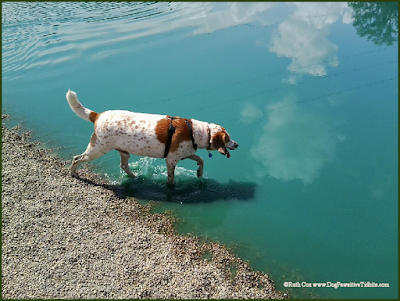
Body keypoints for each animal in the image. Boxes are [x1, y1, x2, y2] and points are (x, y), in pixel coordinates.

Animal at [67, 89, 239, 184]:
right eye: (228, 139)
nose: (237, 144)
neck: (195, 131)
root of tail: (97, 115)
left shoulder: (185, 154)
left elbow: (201, 160)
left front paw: (199, 173)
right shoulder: (171, 160)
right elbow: (171, 179)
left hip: (123, 152)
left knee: (124, 166)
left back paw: (135, 177)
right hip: (97, 150)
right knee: (77, 158)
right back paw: (73, 173)